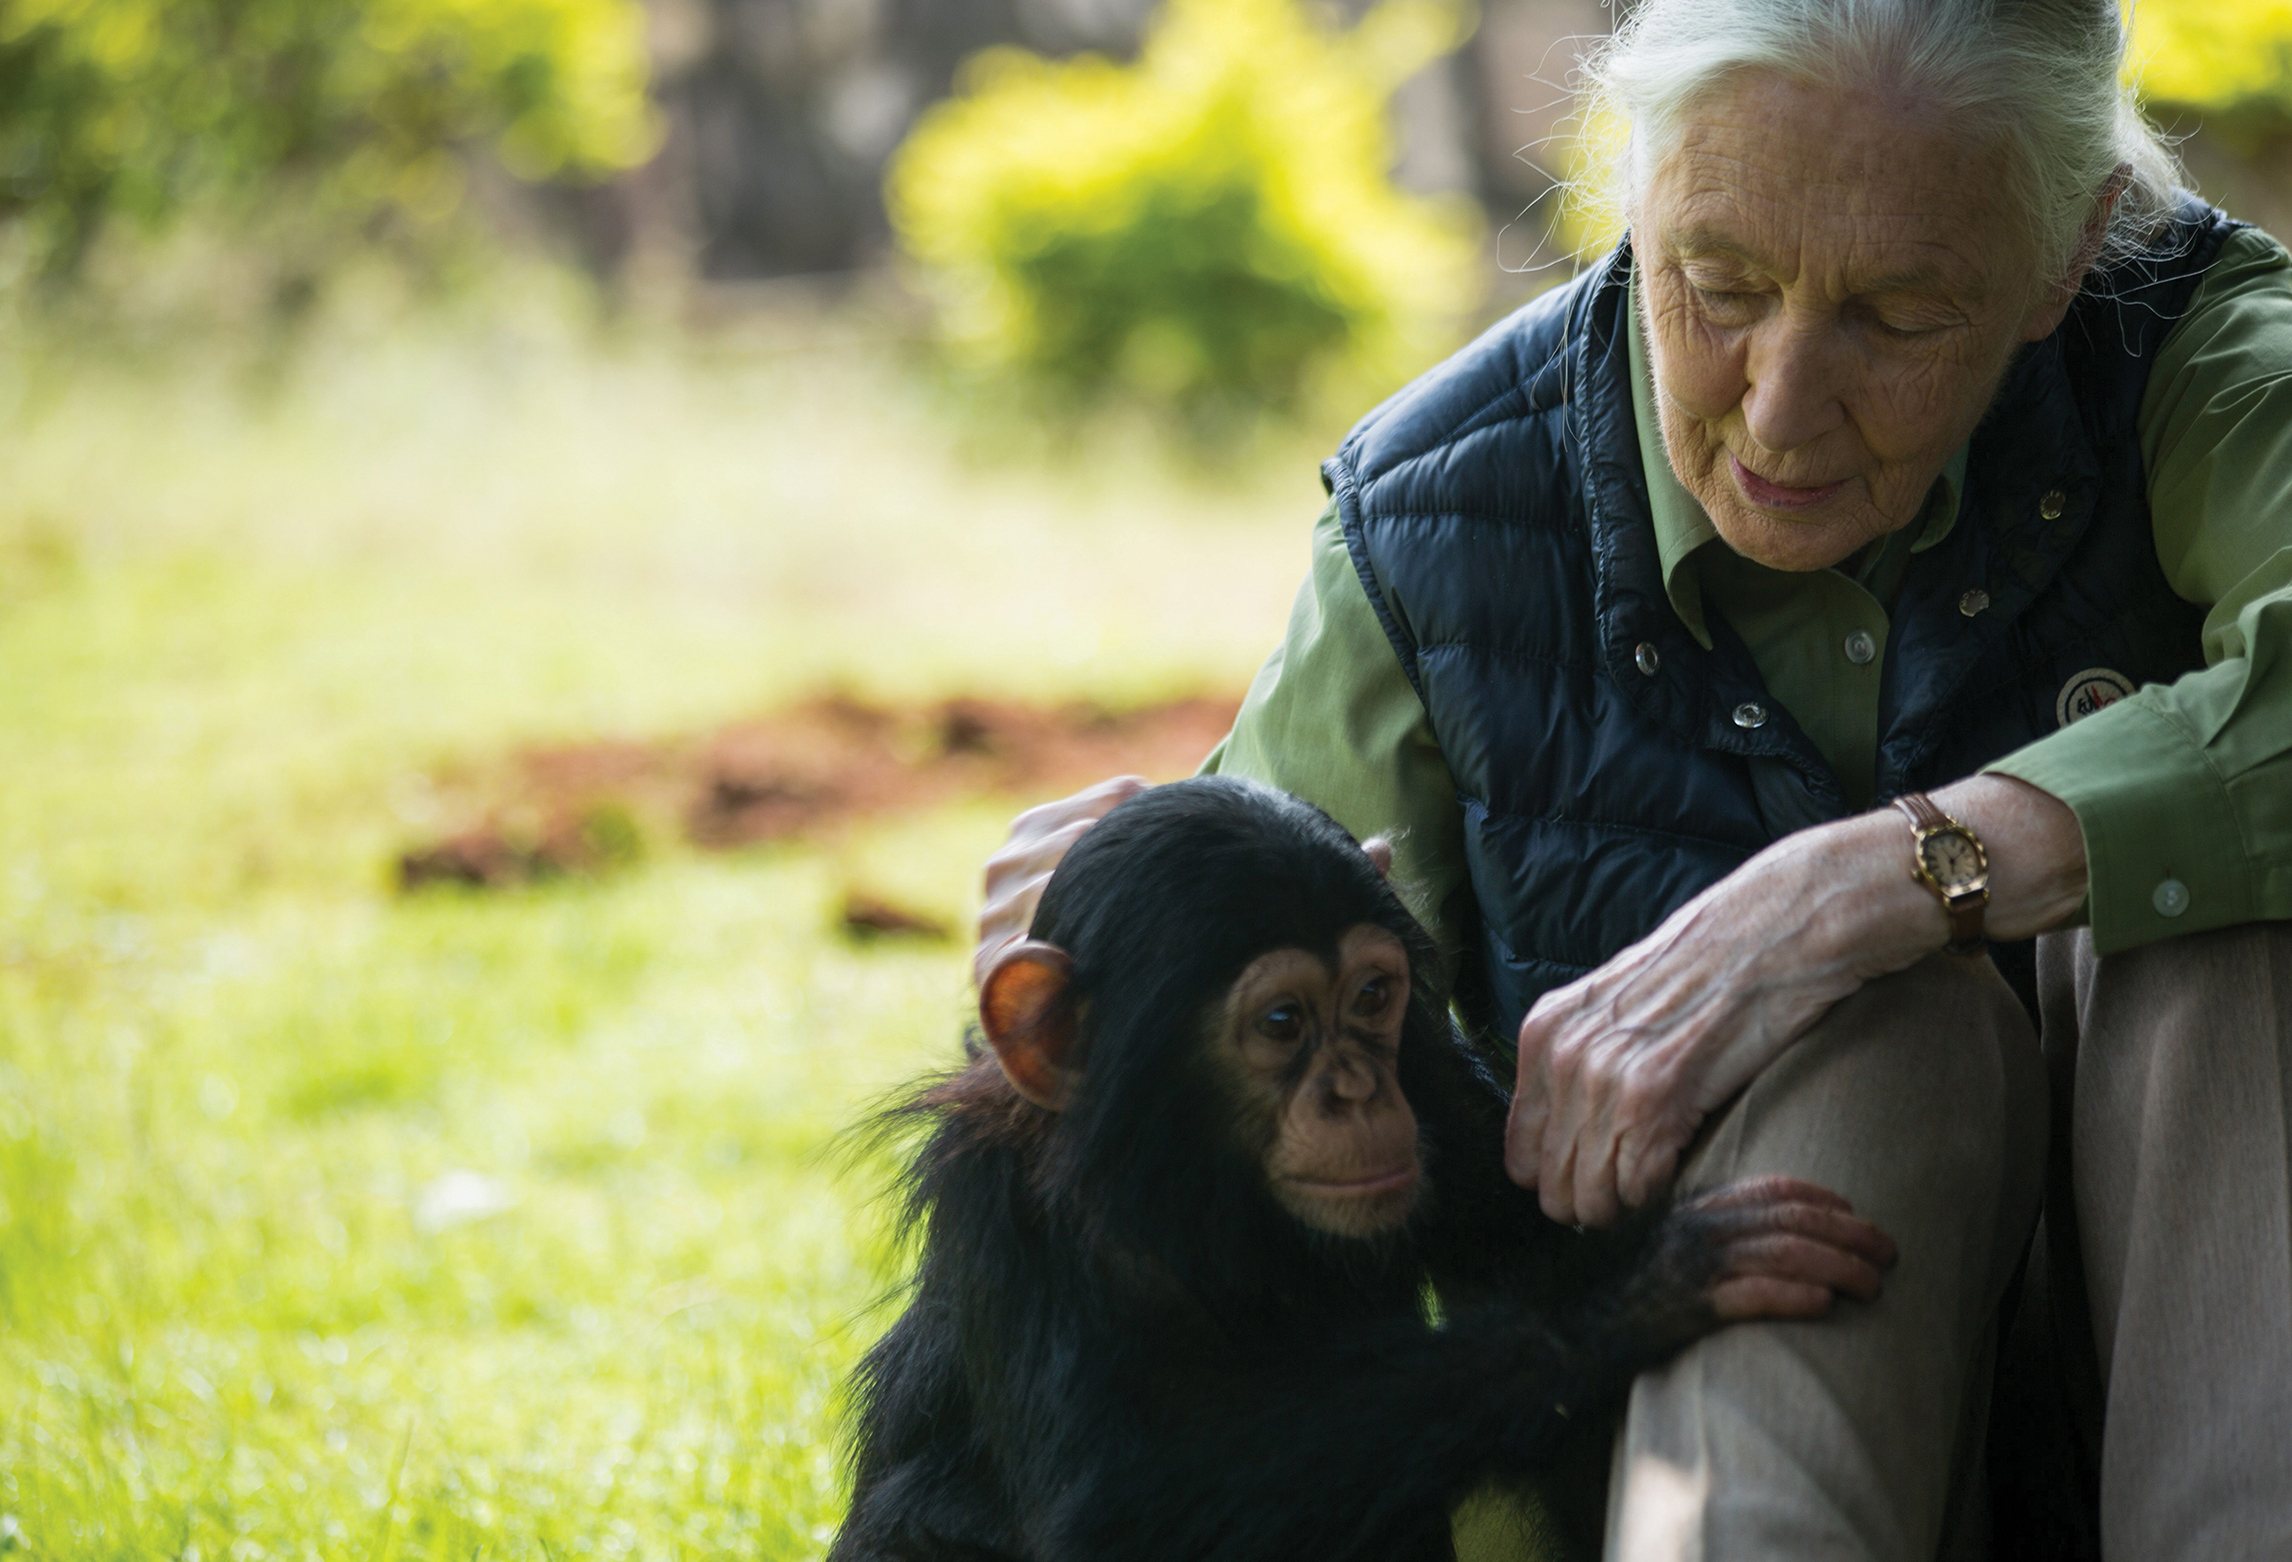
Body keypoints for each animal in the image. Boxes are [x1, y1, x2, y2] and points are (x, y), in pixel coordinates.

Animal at [832, 775, 1895, 1562]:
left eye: (1373, 996)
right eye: (1281, 1021)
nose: (1355, 1092)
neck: (1203, 1184)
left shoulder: (1434, 1086)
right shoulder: (1012, 1213)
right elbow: (1121, 1505)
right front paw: (1637, 1286)